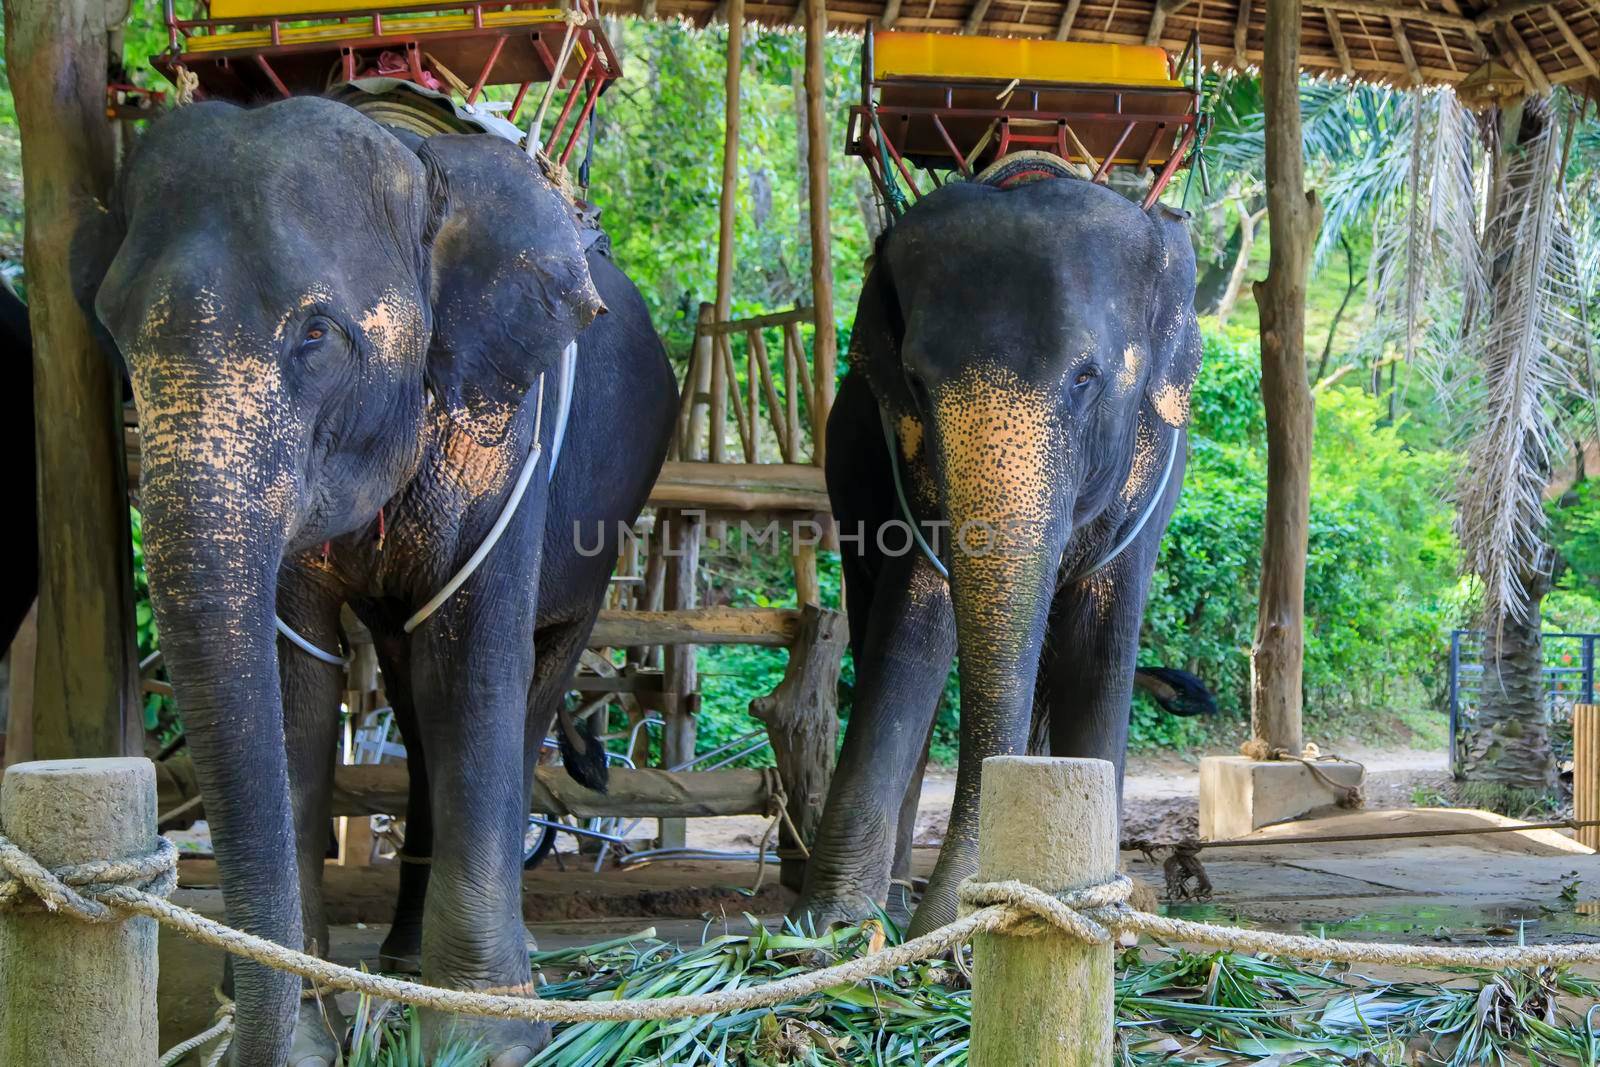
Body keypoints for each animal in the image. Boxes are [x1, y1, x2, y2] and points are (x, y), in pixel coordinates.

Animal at [87, 95, 675, 1062]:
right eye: (114, 332)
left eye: (316, 334)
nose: (239, 1040)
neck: (417, 162)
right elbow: (296, 681)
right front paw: (300, 1030)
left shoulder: (506, 433)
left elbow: (475, 664)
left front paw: (483, 1037)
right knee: (410, 693)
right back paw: (398, 958)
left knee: (528, 683)